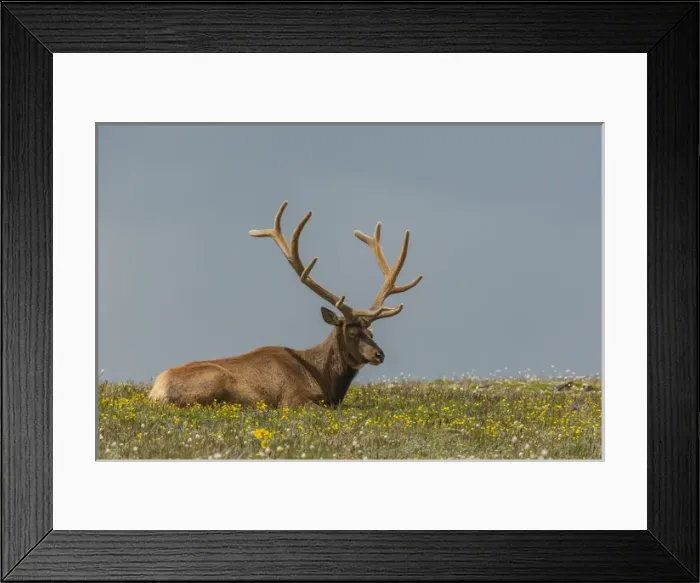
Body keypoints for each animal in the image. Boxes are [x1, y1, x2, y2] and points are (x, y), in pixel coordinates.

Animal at [148, 201, 422, 408]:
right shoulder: (293, 398)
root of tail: (155, 392)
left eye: (372, 332)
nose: (379, 354)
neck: (325, 381)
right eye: (352, 332)